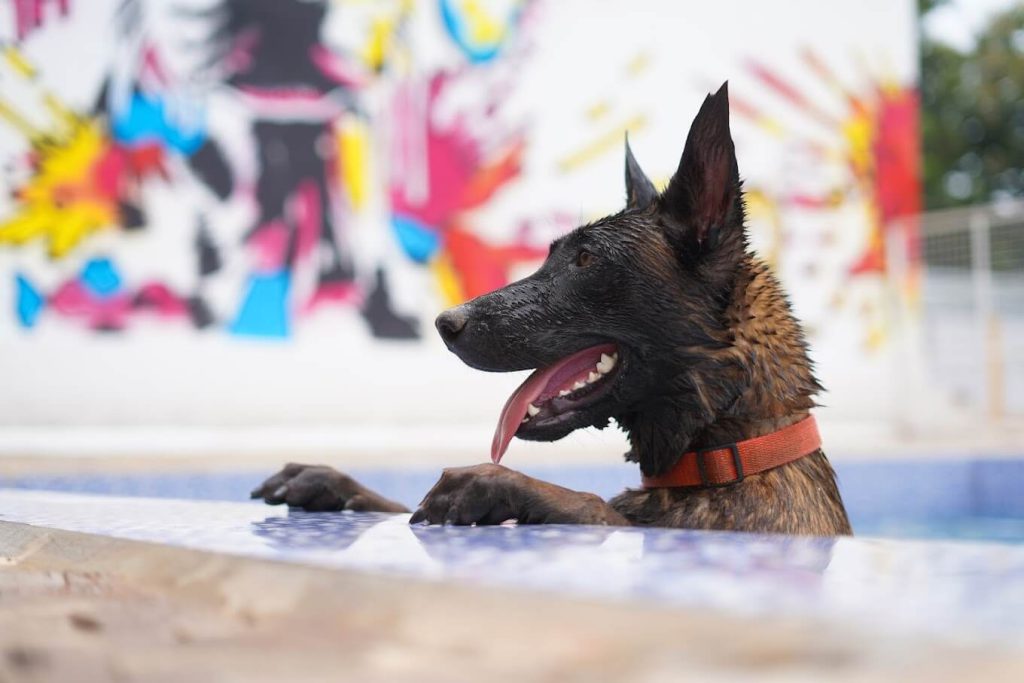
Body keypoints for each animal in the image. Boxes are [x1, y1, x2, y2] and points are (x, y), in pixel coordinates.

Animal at [249, 82, 856, 536]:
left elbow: (591, 505)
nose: (445, 324)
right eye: (552, 254)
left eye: (586, 259)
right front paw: (334, 483)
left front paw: (498, 482)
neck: (729, 452)